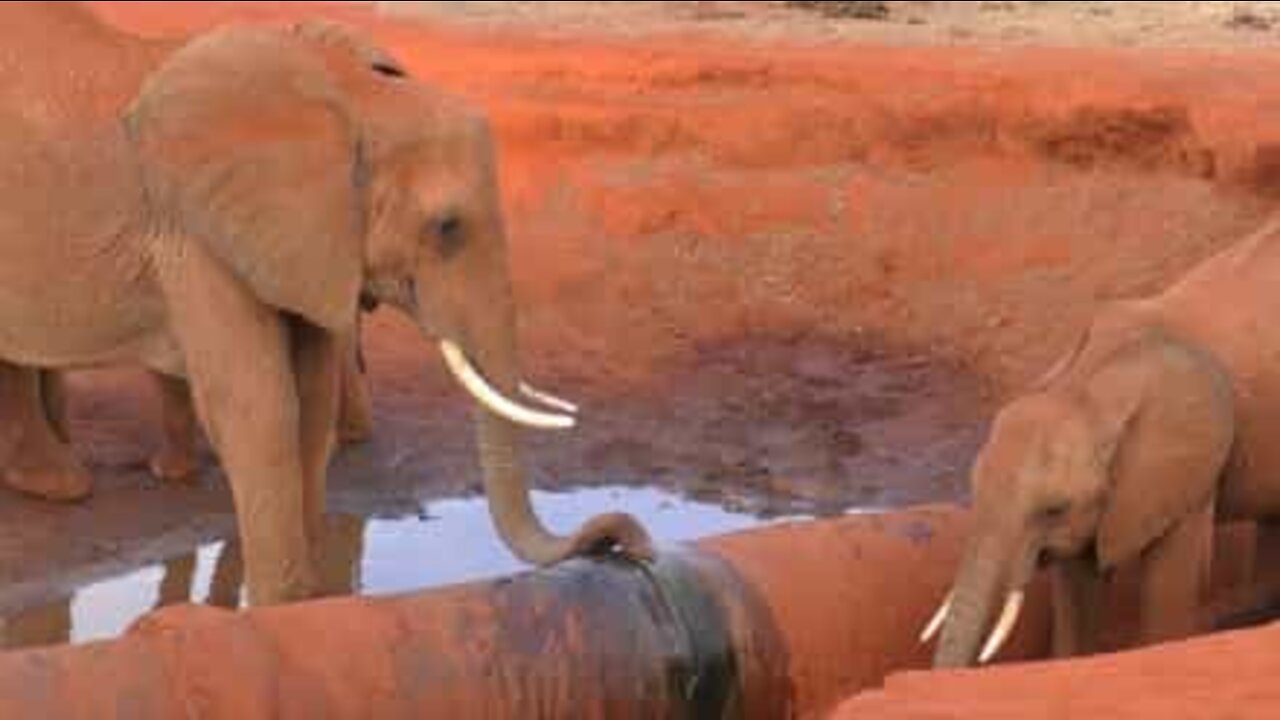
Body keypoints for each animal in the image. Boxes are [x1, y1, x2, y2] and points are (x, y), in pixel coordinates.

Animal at [0, 7, 650, 599]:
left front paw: (313, 600)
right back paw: (62, 488)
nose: (629, 544)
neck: (354, 102)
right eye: (447, 228)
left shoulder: (304, 235)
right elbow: (260, 405)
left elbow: (309, 398)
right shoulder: (194, 232)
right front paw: (279, 606)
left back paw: (51, 482)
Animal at [921, 213, 1280, 666]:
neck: (1091, 381)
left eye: (1054, 509)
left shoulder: (1187, 470)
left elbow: (1168, 587)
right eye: (973, 490)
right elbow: (1077, 590)